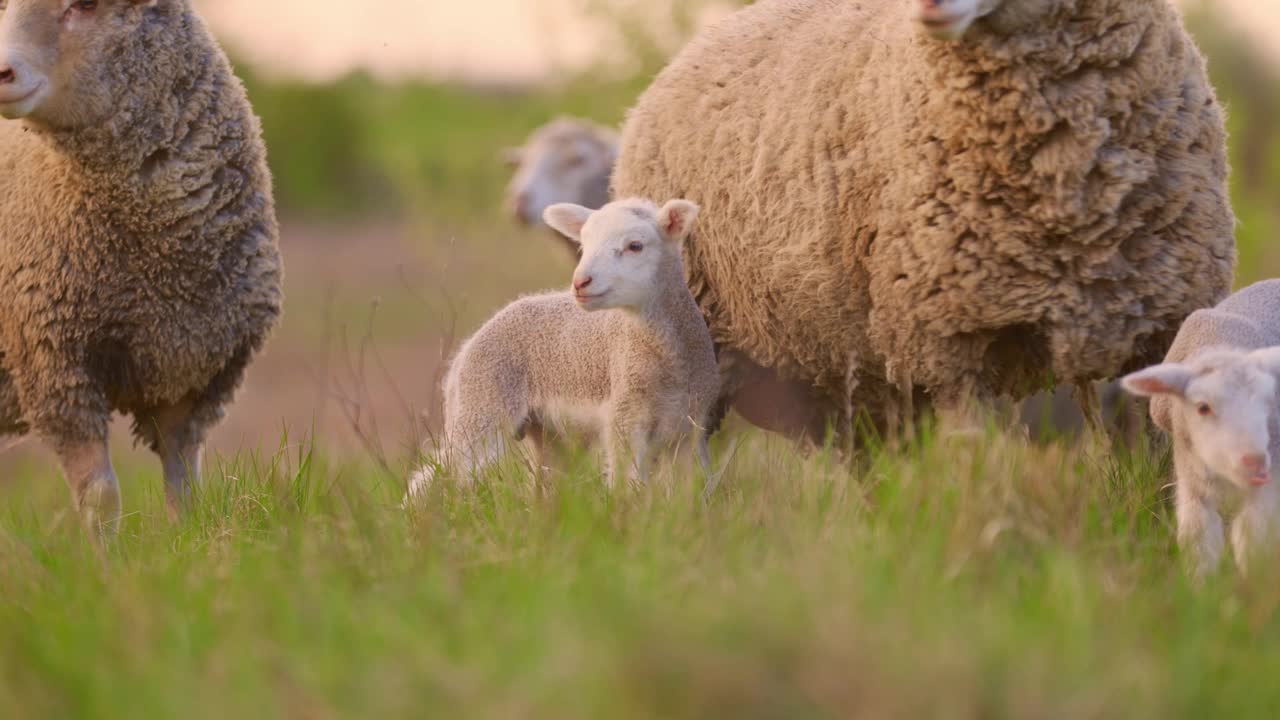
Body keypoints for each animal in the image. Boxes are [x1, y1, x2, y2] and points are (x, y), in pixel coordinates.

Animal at [0, 0, 282, 527]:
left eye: (84, 6)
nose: (1, 72)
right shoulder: (54, 368)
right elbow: (100, 498)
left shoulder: (189, 372)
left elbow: (185, 491)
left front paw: (189, 544)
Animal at [404, 197, 721, 499]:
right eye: (584, 244)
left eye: (635, 246)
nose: (580, 282)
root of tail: (464, 351)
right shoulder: (624, 420)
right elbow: (627, 487)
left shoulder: (690, 428)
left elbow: (693, 490)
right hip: (481, 405)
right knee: (438, 477)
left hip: (548, 435)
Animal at [1126, 280, 1280, 576]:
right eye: (1202, 407)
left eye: (1270, 401)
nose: (1254, 461)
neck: (1224, 343)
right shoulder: (1192, 481)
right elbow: (1198, 541)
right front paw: (1201, 585)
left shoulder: (1269, 482)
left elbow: (1251, 541)